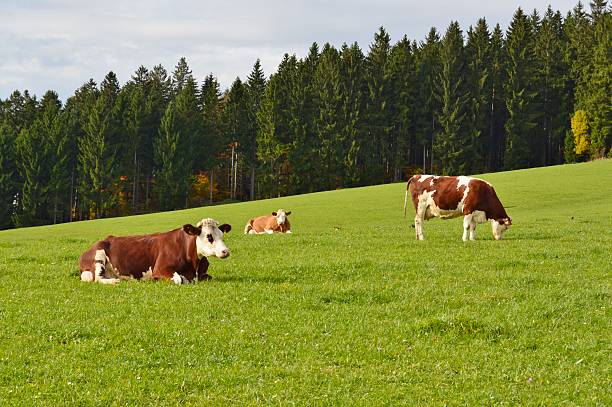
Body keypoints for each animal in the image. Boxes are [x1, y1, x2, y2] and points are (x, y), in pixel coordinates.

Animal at [79, 218, 232, 286]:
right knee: (98, 278)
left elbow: (207, 277)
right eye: (209, 236)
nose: (226, 251)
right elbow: (179, 279)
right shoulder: (160, 268)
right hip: (98, 257)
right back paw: (116, 281)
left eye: (221, 235)